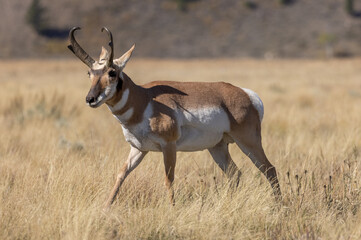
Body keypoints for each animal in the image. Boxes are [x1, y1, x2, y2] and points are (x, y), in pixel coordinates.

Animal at [67, 27, 282, 209]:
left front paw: (172, 208)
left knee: (270, 170)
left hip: (248, 142)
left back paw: (280, 207)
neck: (144, 99)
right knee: (235, 173)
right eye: (89, 73)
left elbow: (168, 179)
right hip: (217, 147)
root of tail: (246, 94)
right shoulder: (138, 149)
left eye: (112, 72)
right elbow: (121, 174)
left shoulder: (168, 146)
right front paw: (105, 207)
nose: (90, 99)